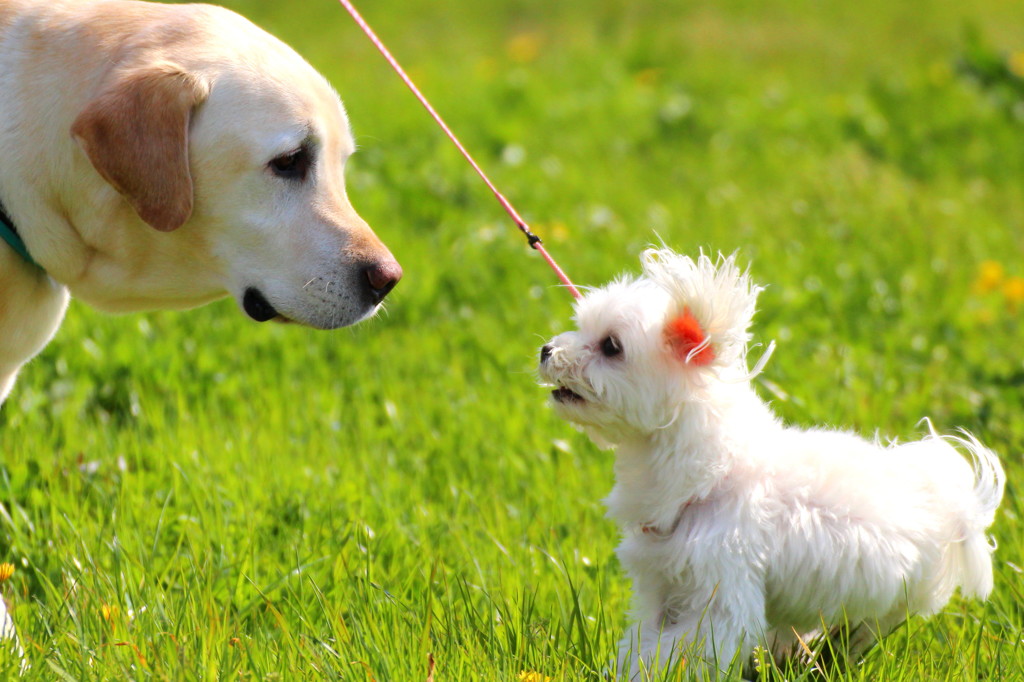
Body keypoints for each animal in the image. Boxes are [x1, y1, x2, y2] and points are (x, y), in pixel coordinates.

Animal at [540, 248, 1003, 675]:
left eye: (611, 346)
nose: (546, 349)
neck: (708, 476)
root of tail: (949, 501)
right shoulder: (660, 582)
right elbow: (642, 640)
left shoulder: (722, 593)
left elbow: (673, 651)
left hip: (890, 602)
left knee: (858, 635)